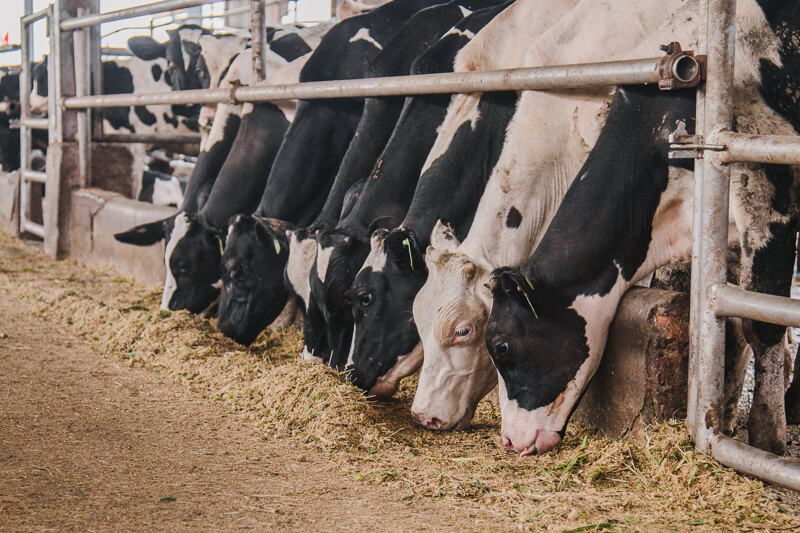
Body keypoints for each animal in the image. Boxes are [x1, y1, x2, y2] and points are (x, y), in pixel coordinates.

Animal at [482, 0, 800, 458]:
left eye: (502, 346)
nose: (510, 440)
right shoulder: (722, 232)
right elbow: (726, 321)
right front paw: (720, 414)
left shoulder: (768, 194)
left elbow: (763, 320)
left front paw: (768, 436)